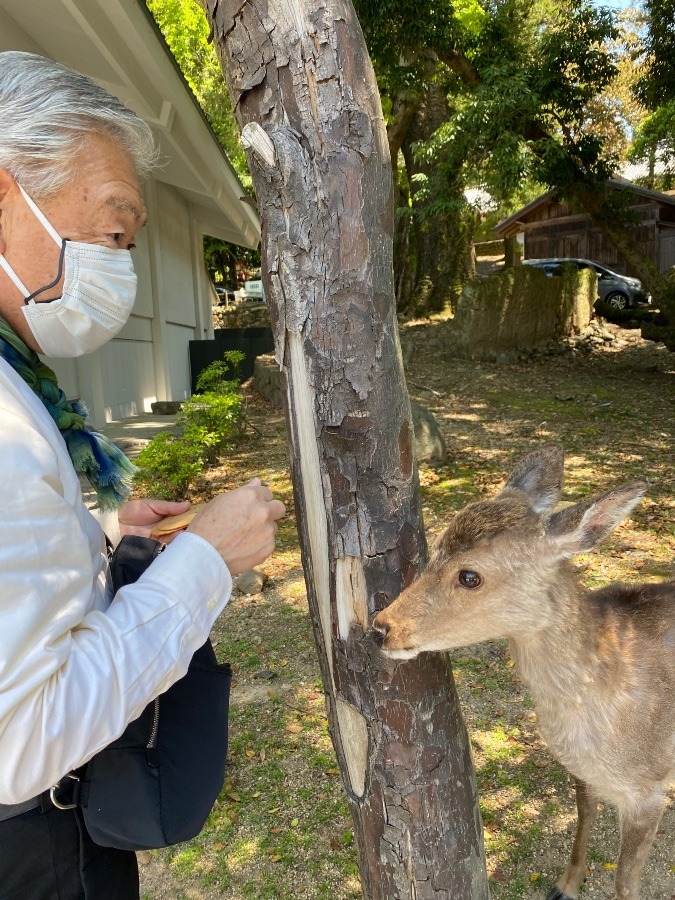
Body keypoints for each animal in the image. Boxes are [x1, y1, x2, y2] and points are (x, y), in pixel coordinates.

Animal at [372, 448, 672, 900]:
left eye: (470, 576)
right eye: (435, 546)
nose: (381, 627)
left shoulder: (649, 789)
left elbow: (625, 881)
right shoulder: (582, 771)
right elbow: (583, 817)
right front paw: (565, 886)